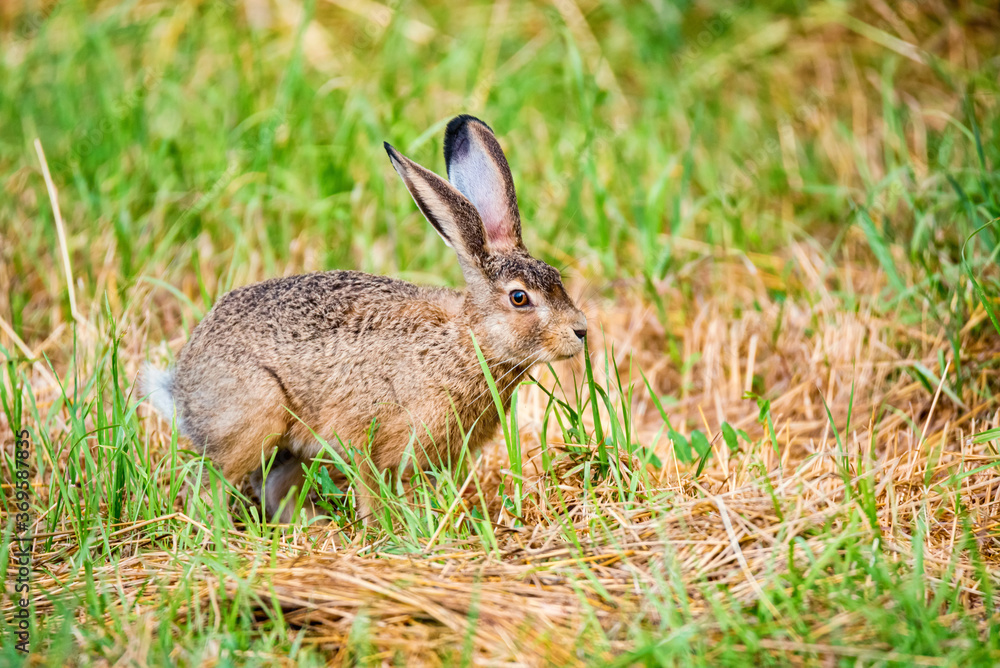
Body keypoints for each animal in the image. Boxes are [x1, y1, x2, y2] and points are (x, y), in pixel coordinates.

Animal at [142, 114, 588, 525]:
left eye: (556, 277)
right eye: (519, 298)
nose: (581, 330)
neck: (466, 342)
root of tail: (182, 390)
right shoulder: (365, 435)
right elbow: (370, 489)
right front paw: (385, 531)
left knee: (272, 488)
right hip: (256, 418)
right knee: (209, 484)